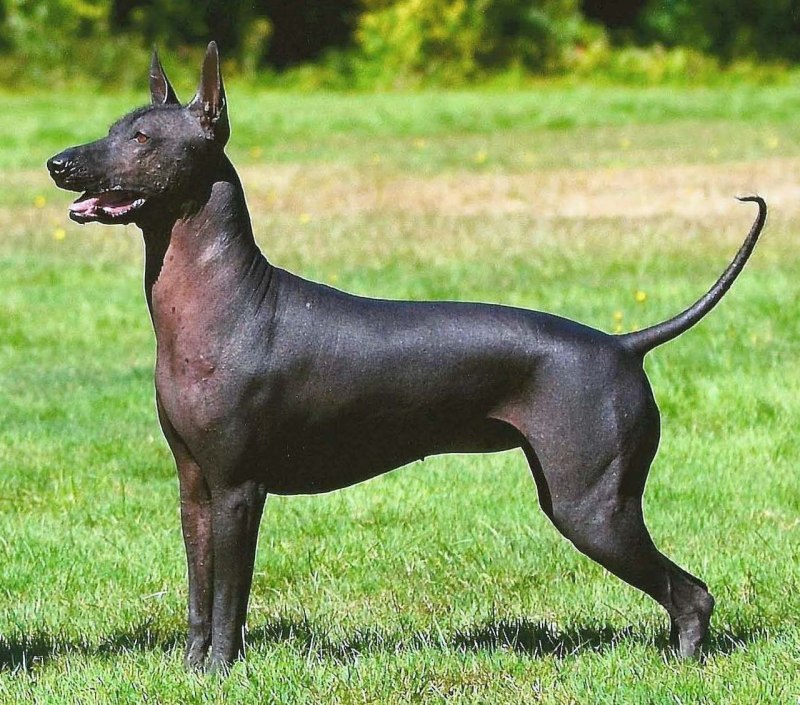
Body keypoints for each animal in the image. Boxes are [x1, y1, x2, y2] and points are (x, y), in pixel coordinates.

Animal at [47, 42, 766, 672]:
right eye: (114, 128)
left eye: (144, 139)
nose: (58, 163)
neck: (221, 297)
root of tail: (622, 343)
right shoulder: (194, 488)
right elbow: (200, 596)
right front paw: (193, 670)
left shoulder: (237, 492)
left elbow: (229, 600)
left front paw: (221, 671)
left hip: (593, 507)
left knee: (692, 592)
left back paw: (683, 663)